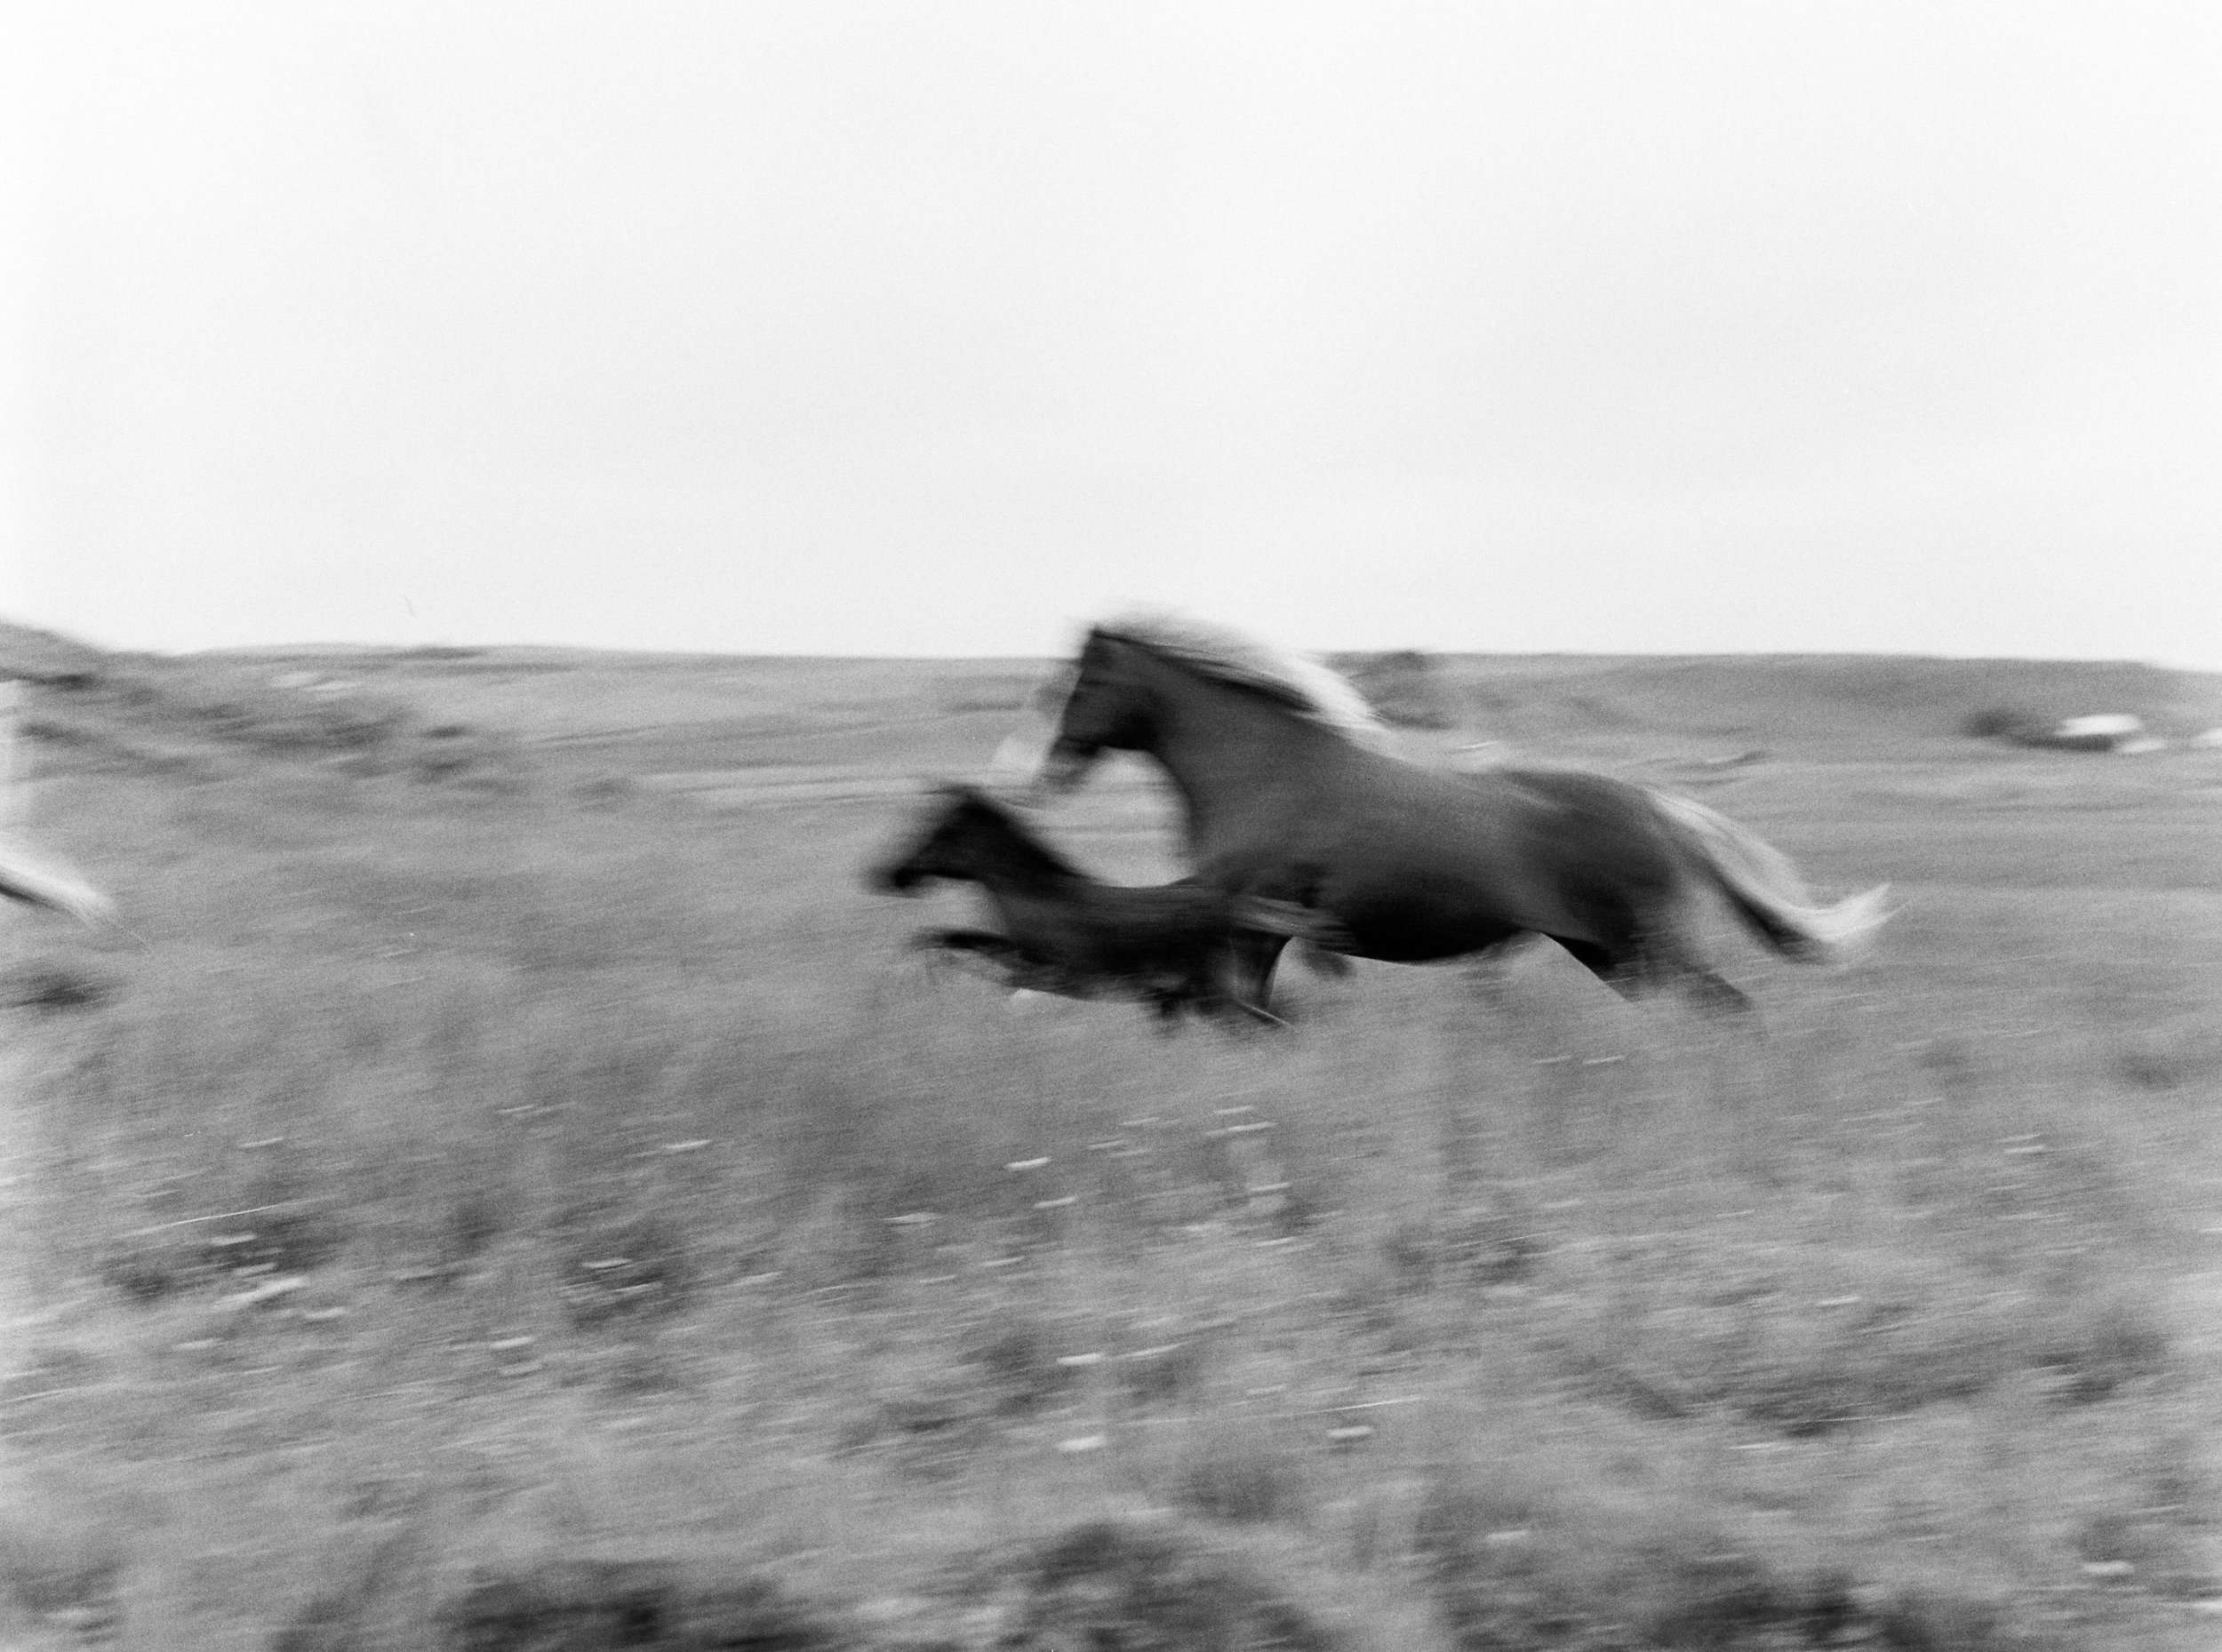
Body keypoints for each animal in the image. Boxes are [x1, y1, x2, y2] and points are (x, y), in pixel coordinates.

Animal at [867, 781, 1351, 1026]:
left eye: (938, 832)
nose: (891, 876)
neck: (1035, 897)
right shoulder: (1030, 960)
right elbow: (959, 938)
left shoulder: (1054, 971)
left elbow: (973, 953)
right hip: (1223, 989)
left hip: (1220, 990)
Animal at [1018, 612, 1884, 1012]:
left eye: (1085, 682)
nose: (1051, 770)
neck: (1266, 773)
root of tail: (1663, 809)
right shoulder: (1254, 929)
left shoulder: (1256, 922)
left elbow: (1247, 1002)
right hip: (1607, 954)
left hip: (1646, 947)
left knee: (1727, 1009)